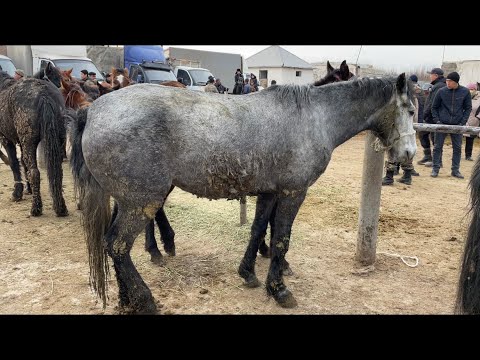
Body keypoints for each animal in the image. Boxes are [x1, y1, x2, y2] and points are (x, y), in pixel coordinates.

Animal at [70, 73, 416, 312]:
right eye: (410, 110)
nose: (409, 155)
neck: (313, 117)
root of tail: (94, 110)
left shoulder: (269, 192)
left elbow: (258, 229)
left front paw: (248, 273)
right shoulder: (293, 192)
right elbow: (280, 239)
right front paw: (279, 289)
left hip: (129, 199)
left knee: (112, 244)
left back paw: (126, 297)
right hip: (142, 201)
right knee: (117, 245)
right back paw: (144, 299)